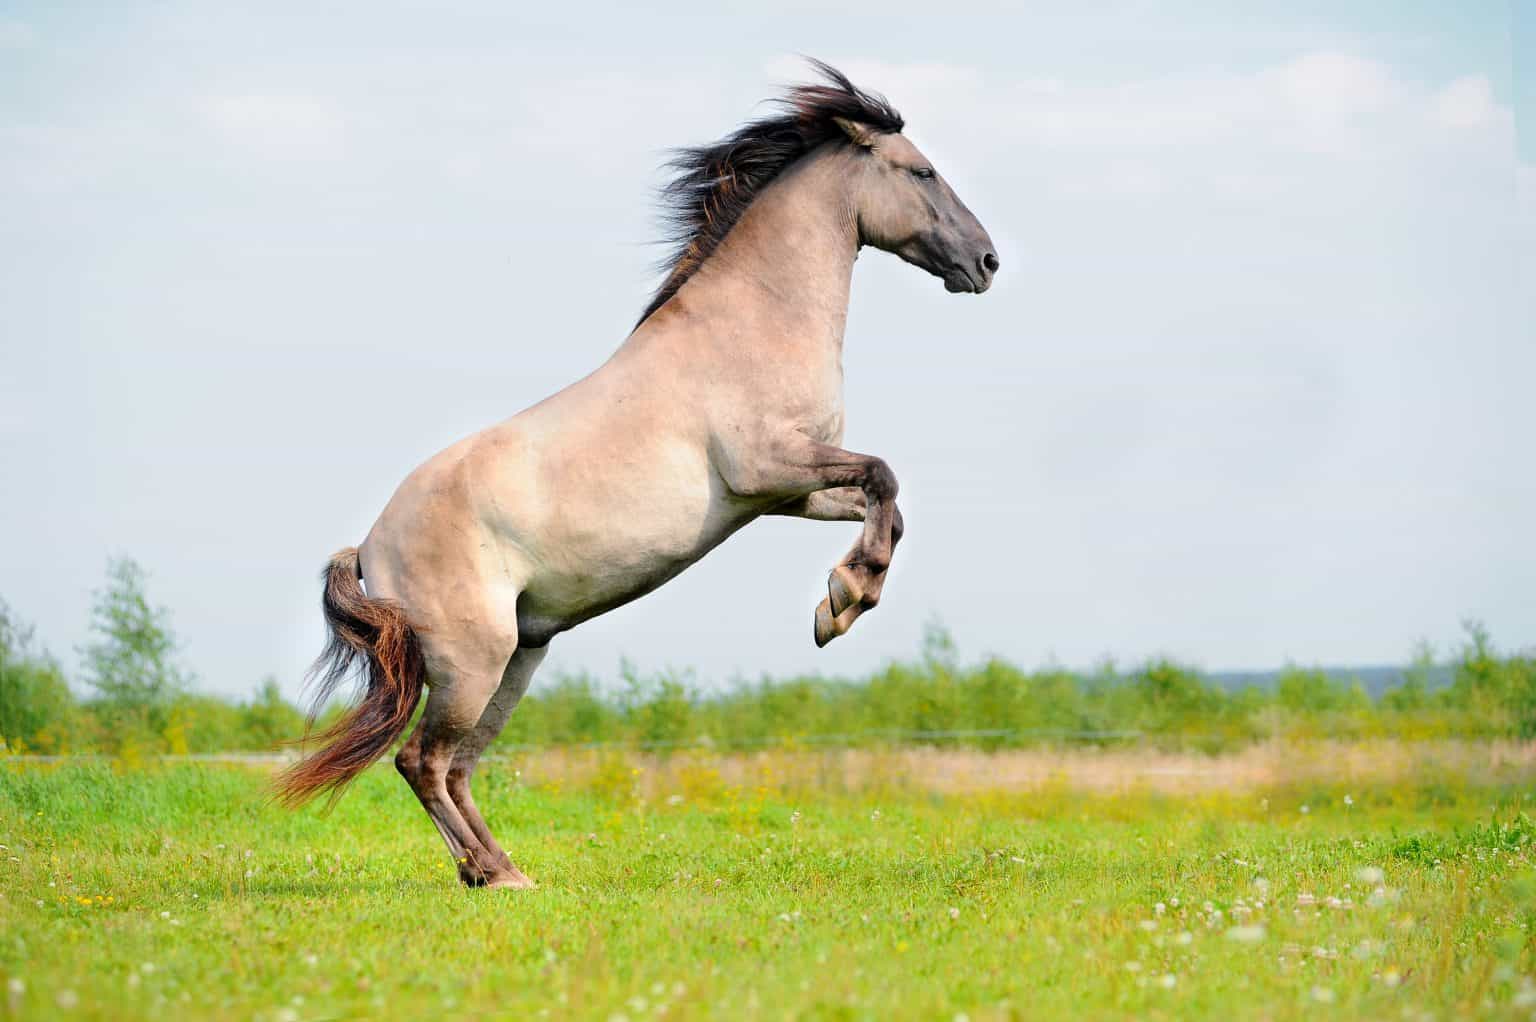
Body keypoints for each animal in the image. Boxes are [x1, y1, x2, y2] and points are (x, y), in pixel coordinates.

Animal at [276, 60, 999, 888]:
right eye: (921, 172)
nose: (986, 262)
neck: (752, 321)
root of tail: (368, 549)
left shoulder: (787, 493)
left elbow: (887, 501)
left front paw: (841, 599)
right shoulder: (768, 465)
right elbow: (885, 475)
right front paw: (842, 605)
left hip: (518, 657)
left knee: (457, 767)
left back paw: (502, 869)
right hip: (470, 663)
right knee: (421, 761)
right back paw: (493, 875)